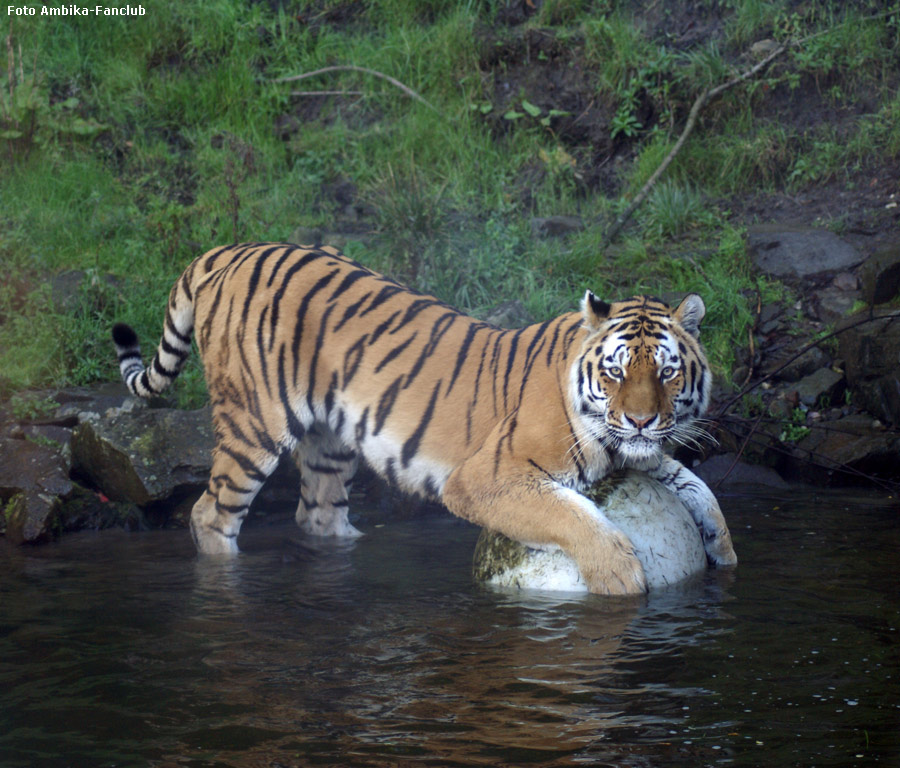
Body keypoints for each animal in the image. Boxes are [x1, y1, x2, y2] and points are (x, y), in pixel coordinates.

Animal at [112, 240, 736, 592]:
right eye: (615, 372)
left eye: (667, 373)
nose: (641, 421)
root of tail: (228, 251)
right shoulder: (486, 477)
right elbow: (576, 518)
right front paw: (621, 580)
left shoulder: (643, 456)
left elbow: (701, 490)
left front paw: (724, 554)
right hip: (253, 425)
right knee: (211, 515)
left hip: (331, 441)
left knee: (318, 514)